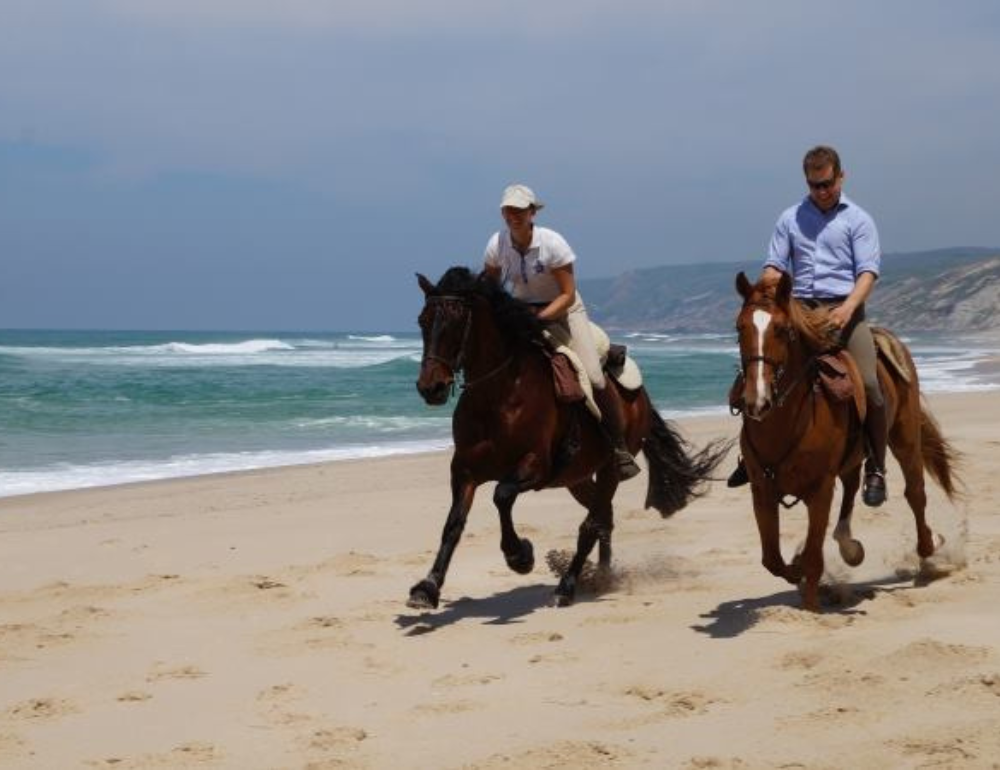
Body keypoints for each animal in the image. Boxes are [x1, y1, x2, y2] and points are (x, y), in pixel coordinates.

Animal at [406, 268, 728, 608]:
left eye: (456, 322)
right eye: (423, 321)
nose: (430, 388)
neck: (496, 397)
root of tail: (640, 396)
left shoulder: (535, 467)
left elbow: (501, 495)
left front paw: (520, 556)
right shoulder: (465, 470)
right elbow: (453, 524)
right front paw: (427, 588)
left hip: (609, 469)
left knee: (592, 522)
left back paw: (568, 586)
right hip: (577, 477)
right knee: (603, 518)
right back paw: (602, 576)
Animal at [736, 272, 960, 608]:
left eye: (783, 329)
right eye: (740, 328)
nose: (757, 401)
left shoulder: (820, 489)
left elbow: (814, 557)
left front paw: (811, 606)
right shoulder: (762, 489)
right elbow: (772, 559)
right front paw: (797, 570)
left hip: (905, 439)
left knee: (915, 493)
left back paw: (927, 550)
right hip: (853, 457)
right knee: (853, 486)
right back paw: (850, 547)